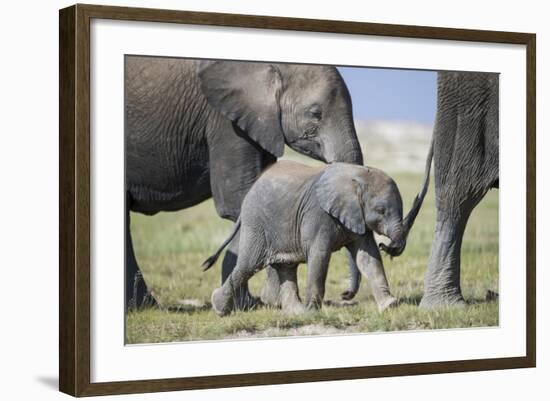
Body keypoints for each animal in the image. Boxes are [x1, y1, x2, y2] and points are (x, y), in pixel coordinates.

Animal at [126, 54, 364, 308]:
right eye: (315, 113)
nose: (345, 294)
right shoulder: (225, 122)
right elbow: (238, 202)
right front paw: (255, 304)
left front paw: (266, 301)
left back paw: (142, 306)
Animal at [203, 160, 406, 316]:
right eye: (381, 211)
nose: (388, 246)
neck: (357, 174)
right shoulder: (317, 215)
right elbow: (320, 256)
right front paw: (314, 311)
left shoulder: (358, 218)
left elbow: (368, 258)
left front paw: (390, 306)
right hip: (257, 223)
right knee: (248, 265)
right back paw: (219, 308)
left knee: (285, 267)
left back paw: (297, 313)